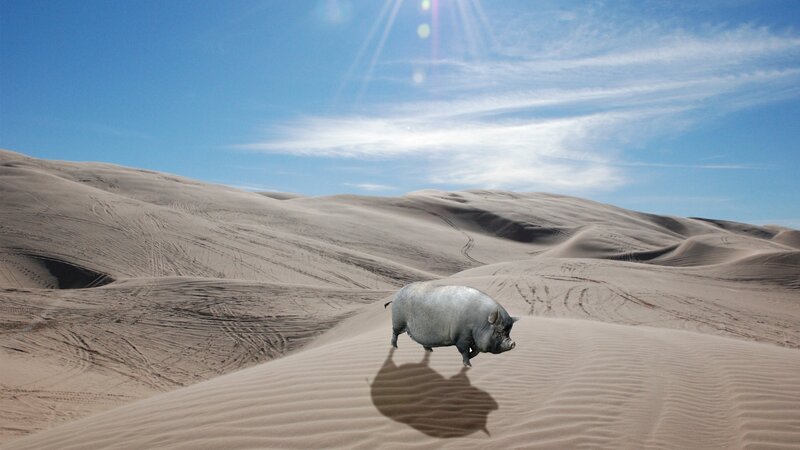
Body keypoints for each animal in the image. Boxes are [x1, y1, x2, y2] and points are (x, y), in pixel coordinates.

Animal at [384, 282, 517, 367]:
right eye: (498, 331)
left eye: (509, 331)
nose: (513, 343)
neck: (479, 323)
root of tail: (395, 296)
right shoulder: (461, 338)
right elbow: (464, 351)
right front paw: (468, 365)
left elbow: (475, 352)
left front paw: (470, 359)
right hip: (398, 321)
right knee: (394, 333)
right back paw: (395, 347)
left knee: (422, 342)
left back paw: (430, 350)